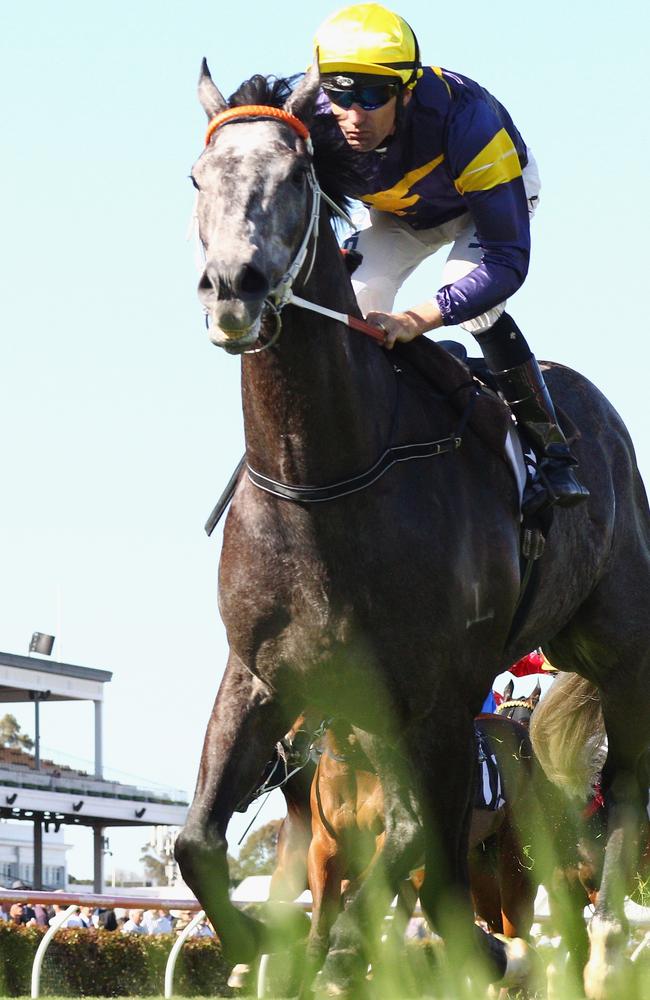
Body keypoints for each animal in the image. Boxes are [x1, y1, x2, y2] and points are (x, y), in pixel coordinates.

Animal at [173, 62, 648, 1000]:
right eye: (199, 179)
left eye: (297, 177)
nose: (234, 286)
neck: (323, 481)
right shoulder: (258, 675)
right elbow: (199, 842)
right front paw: (260, 951)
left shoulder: (441, 692)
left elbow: (410, 845)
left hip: (620, 642)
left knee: (623, 789)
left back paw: (608, 943)